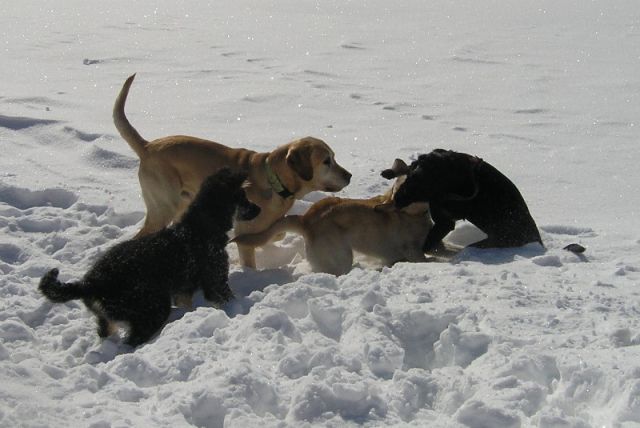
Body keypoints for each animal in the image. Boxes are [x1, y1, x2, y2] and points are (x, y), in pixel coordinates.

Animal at [38, 169, 260, 346]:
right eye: (243, 198)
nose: (259, 209)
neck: (201, 226)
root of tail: (91, 283)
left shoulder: (183, 289)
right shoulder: (216, 280)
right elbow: (227, 298)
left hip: (108, 317)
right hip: (151, 308)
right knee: (132, 341)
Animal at [113, 74, 352, 268]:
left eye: (334, 157)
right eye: (327, 161)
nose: (349, 176)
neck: (274, 180)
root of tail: (147, 146)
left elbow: (277, 232)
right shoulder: (245, 233)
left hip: (180, 204)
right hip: (164, 206)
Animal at [382, 150, 544, 252]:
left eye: (424, 186)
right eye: (410, 179)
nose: (396, 199)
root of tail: (537, 241)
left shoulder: (445, 221)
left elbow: (428, 244)